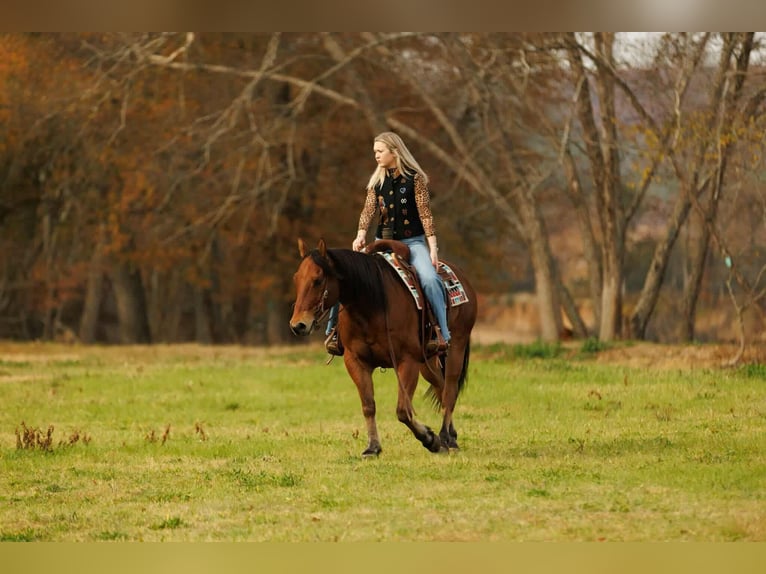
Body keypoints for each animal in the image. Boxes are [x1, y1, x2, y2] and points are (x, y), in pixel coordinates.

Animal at [289, 237, 478, 457]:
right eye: (296, 278)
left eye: (318, 280)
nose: (298, 325)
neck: (372, 305)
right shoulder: (356, 361)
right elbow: (368, 405)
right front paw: (373, 447)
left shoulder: (407, 361)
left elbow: (403, 411)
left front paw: (430, 439)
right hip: (428, 360)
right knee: (440, 386)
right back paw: (451, 436)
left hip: (456, 346)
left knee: (450, 391)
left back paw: (447, 438)